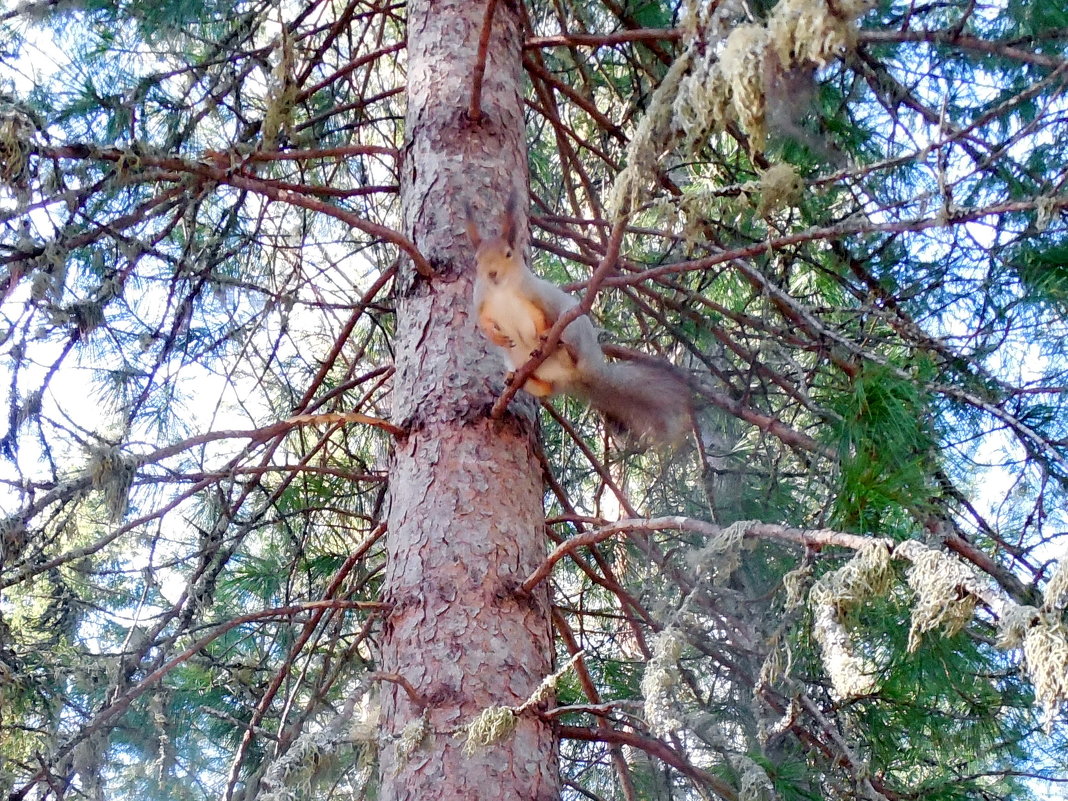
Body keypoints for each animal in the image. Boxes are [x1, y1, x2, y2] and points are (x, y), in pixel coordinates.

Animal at [467, 195, 692, 446]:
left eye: (508, 254)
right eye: (476, 261)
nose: (492, 274)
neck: (501, 291)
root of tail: (586, 373)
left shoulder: (537, 296)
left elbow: (543, 317)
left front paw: (542, 333)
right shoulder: (482, 304)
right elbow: (483, 324)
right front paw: (496, 336)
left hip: (574, 330)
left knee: (570, 354)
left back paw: (560, 349)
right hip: (520, 361)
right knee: (545, 389)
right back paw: (518, 379)